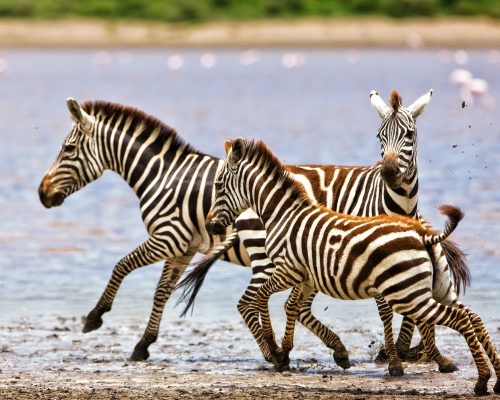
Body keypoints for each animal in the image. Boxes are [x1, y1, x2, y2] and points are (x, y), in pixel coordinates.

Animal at [177, 89, 468, 368]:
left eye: (409, 134)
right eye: (379, 136)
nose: (388, 172)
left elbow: (411, 308)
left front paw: (406, 350)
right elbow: (389, 309)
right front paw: (396, 354)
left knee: (292, 305)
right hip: (269, 259)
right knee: (251, 302)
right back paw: (276, 353)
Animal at [203, 138, 500, 396]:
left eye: (218, 185)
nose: (210, 226)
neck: (282, 214)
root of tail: (423, 236)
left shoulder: (287, 270)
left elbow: (263, 298)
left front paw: (275, 347)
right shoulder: (306, 277)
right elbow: (291, 307)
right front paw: (285, 351)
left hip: (408, 295)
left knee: (460, 319)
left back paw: (482, 381)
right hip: (437, 289)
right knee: (473, 316)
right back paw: (495, 379)